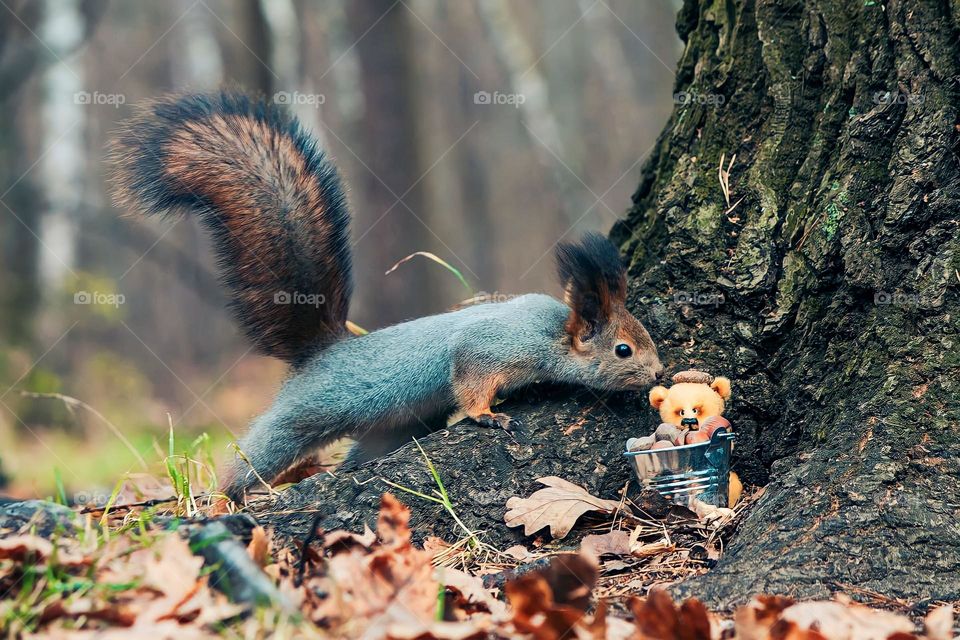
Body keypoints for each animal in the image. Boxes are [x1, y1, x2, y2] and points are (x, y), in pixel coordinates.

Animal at [112, 92, 664, 502]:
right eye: (623, 350)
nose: (659, 374)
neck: (552, 333)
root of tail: (326, 350)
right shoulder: (494, 345)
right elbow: (470, 375)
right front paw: (486, 415)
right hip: (302, 414)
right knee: (256, 454)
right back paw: (224, 497)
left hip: (386, 429)